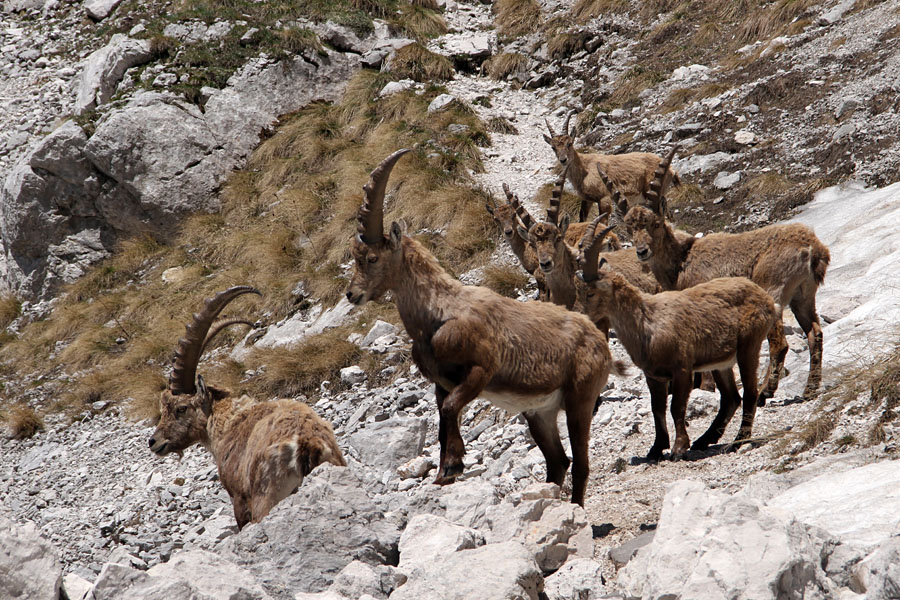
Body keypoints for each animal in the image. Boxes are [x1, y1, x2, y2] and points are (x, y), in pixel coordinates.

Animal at [148, 286, 346, 529]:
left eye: (181, 408)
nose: (154, 442)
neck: (228, 423)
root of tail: (308, 444)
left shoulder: (239, 500)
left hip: (265, 501)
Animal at [346, 149, 624, 505]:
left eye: (371, 257)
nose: (352, 294)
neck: (439, 314)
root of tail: (598, 340)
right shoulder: (441, 383)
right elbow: (441, 418)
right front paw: (444, 470)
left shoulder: (482, 370)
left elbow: (451, 408)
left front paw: (453, 464)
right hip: (540, 412)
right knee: (558, 461)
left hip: (580, 399)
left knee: (580, 463)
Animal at [543, 112, 680, 221]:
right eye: (553, 147)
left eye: (569, 143)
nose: (563, 160)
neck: (585, 169)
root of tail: (672, 170)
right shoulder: (587, 199)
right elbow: (582, 219)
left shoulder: (604, 198)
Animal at [579, 224, 778, 459]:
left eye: (590, 293)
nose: (582, 317)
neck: (647, 323)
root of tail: (765, 298)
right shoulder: (654, 375)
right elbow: (657, 409)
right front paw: (656, 448)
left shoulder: (682, 368)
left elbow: (677, 407)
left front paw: (679, 447)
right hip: (721, 363)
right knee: (730, 398)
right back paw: (704, 440)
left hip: (749, 346)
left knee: (749, 393)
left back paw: (738, 440)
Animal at [621, 148, 830, 404]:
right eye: (629, 229)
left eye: (657, 223)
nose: (642, 251)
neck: (682, 260)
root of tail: (813, 248)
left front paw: (706, 387)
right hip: (803, 295)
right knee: (814, 333)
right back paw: (809, 389)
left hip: (773, 290)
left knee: (780, 344)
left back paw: (765, 391)